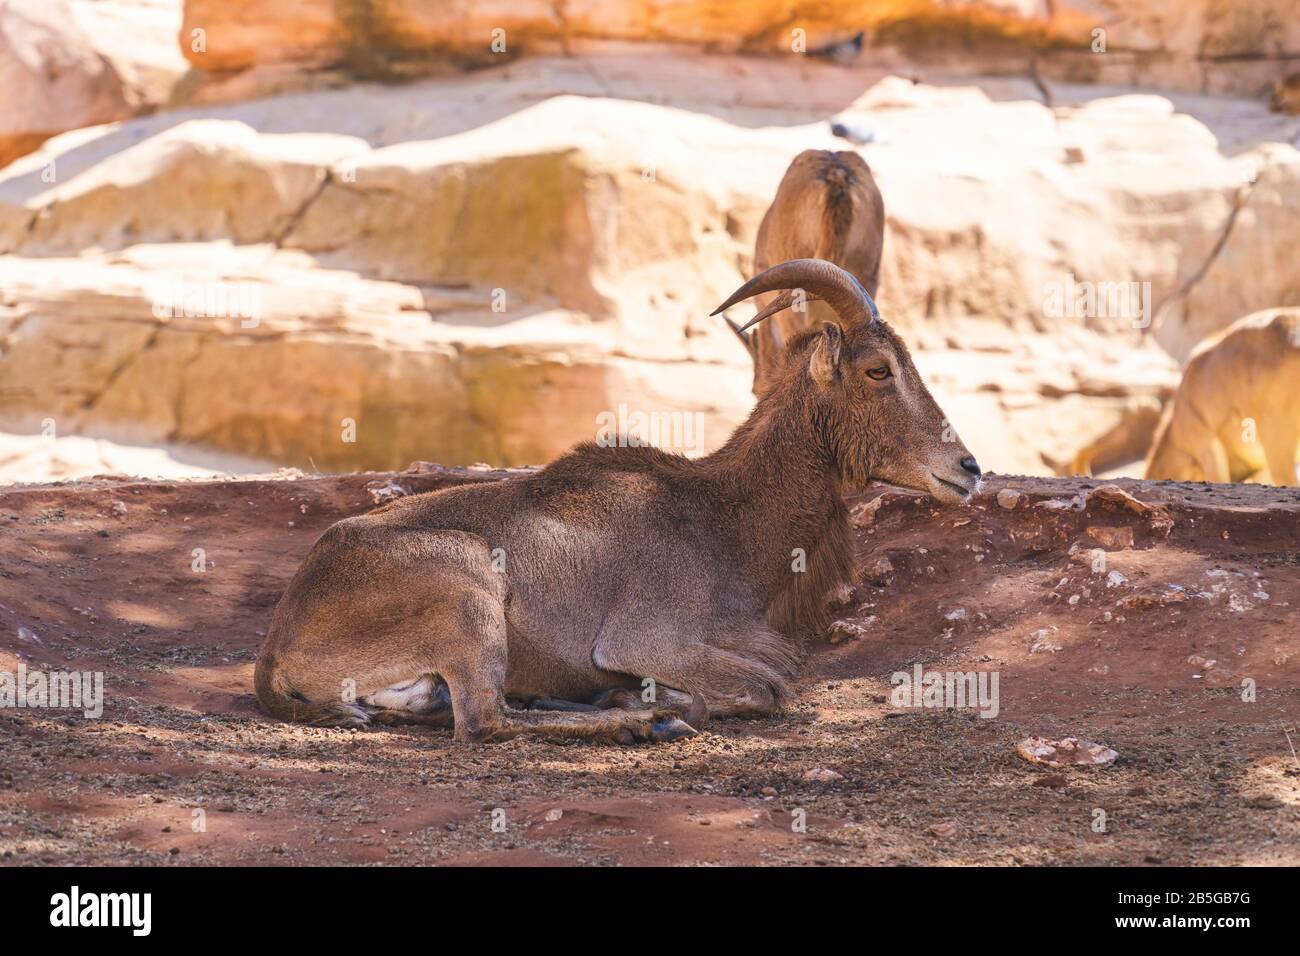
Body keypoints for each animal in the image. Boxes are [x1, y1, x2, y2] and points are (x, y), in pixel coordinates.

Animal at [256, 257, 977, 743]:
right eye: (878, 369)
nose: (967, 469)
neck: (725, 516)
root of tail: (282, 639)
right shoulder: (646, 640)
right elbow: (767, 687)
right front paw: (656, 705)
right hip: (468, 593)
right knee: (485, 721)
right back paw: (641, 722)